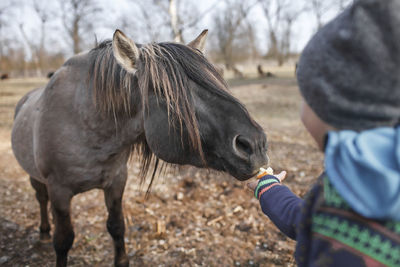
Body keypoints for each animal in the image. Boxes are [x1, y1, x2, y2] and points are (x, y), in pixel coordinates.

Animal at [11, 29, 268, 267]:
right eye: (166, 92)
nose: (255, 144)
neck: (84, 124)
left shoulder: (116, 182)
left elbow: (117, 227)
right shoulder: (59, 191)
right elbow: (64, 240)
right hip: (37, 178)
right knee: (40, 198)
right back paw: (44, 233)